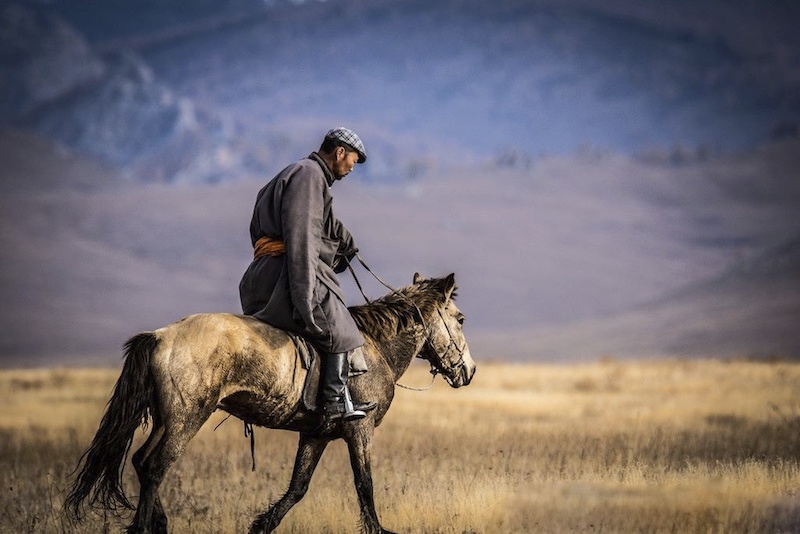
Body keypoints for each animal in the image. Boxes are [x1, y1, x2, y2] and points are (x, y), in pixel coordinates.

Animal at [65, 274, 476, 534]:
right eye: (460, 319)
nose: (469, 371)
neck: (376, 346)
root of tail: (160, 335)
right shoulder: (359, 430)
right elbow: (365, 485)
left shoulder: (316, 434)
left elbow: (298, 487)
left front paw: (261, 525)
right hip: (186, 419)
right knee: (154, 466)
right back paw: (144, 526)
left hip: (168, 419)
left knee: (139, 460)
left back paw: (159, 524)